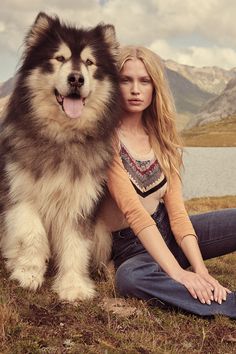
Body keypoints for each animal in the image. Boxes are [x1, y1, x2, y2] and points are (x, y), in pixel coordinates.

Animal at [0, 13, 121, 302]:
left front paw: (74, 285)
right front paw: (29, 274)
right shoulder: (21, 194)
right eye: (59, 58)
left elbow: (75, 245)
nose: (76, 79)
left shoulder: (81, 201)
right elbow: (32, 236)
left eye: (89, 62)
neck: (62, 137)